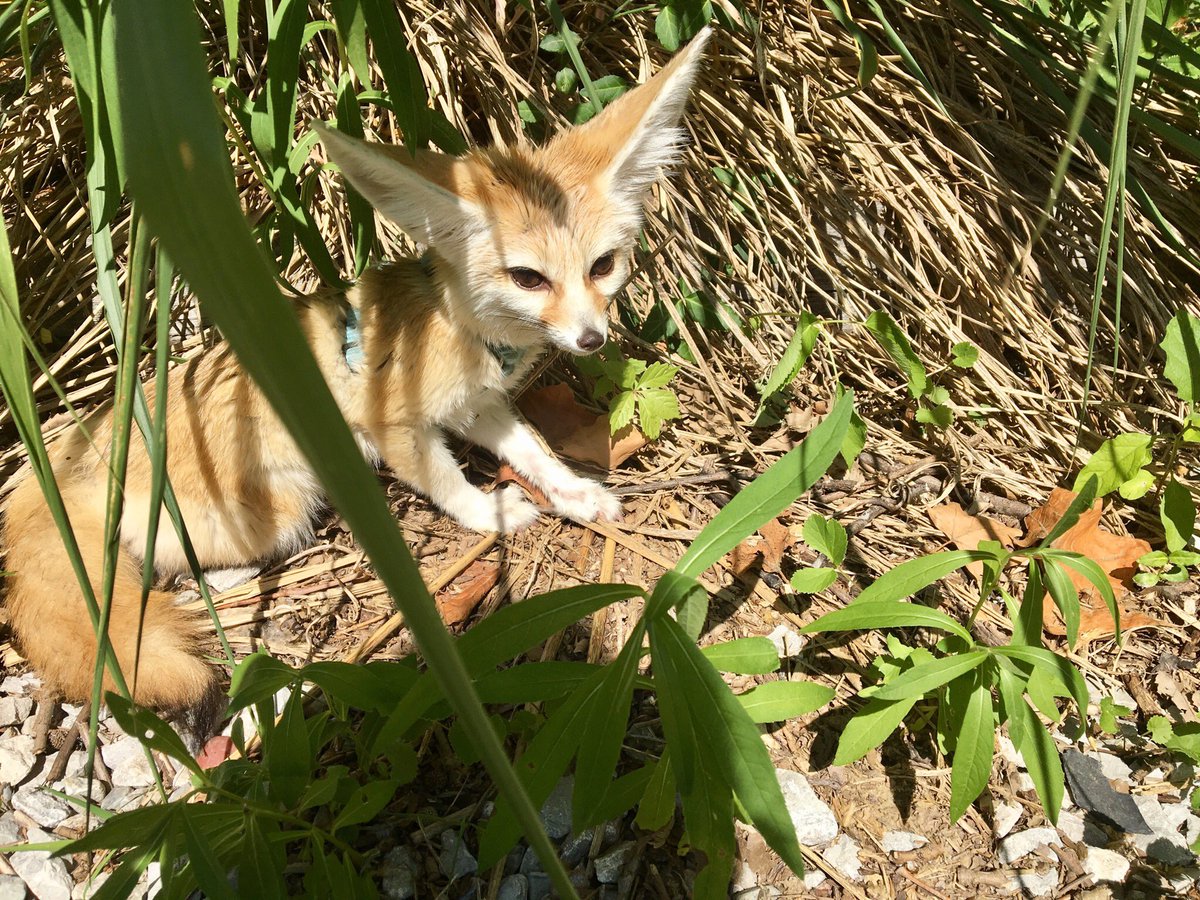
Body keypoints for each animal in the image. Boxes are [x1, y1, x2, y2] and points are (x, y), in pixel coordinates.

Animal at [1, 29, 711, 715]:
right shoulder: (396, 426)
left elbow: (534, 452)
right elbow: (448, 484)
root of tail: (74, 454)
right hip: (280, 508)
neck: (460, 328)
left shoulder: (477, 405)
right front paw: (490, 513)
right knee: (182, 566)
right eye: (528, 278)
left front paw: (575, 492)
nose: (592, 338)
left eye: (602, 266)